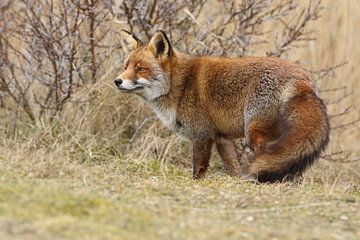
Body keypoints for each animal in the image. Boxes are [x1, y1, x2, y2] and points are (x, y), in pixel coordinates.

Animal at [115, 30, 330, 182]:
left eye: (141, 68)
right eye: (126, 67)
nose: (117, 81)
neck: (180, 84)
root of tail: (301, 78)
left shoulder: (202, 134)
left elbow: (198, 169)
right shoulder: (222, 138)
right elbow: (233, 167)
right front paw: (236, 182)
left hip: (253, 131)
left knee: (262, 155)